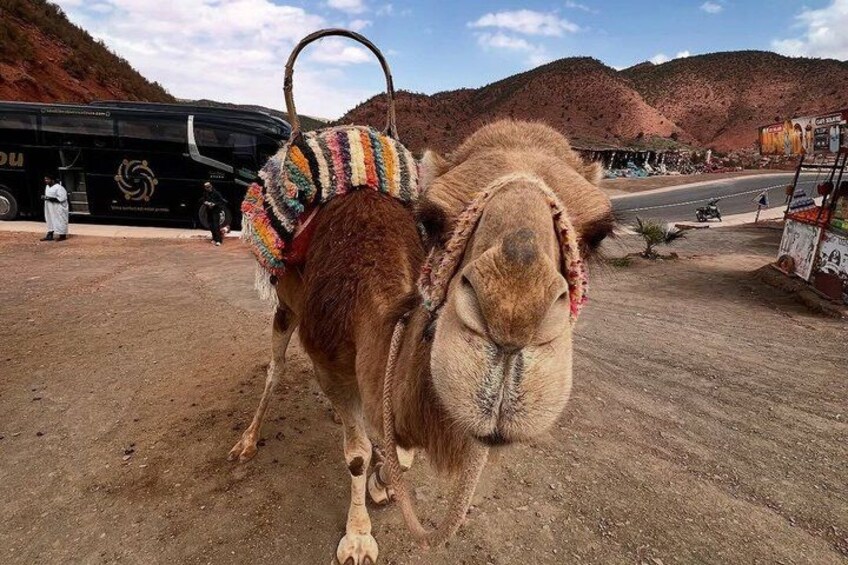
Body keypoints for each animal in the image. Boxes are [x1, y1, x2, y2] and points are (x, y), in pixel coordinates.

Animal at [229, 119, 614, 564]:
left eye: (599, 234)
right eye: (431, 219)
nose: (513, 315)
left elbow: (397, 449)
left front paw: (384, 478)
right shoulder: (328, 362)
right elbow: (356, 455)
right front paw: (358, 536)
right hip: (286, 305)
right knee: (275, 368)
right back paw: (247, 441)